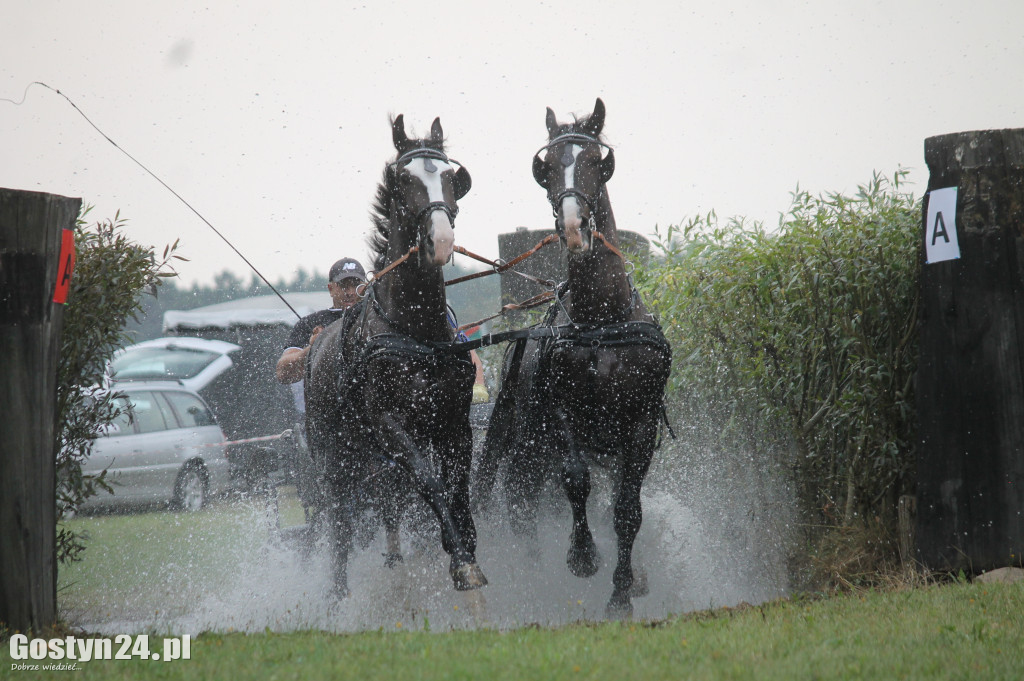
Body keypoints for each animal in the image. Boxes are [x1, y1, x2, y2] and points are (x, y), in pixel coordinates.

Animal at [303, 114, 487, 598]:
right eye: (403, 181)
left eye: (450, 177)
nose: (440, 239)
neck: (417, 334)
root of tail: (314, 347)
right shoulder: (390, 424)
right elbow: (431, 482)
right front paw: (461, 561)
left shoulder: (453, 420)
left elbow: (457, 488)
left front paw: (465, 544)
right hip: (336, 457)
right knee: (340, 521)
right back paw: (337, 591)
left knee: (386, 504)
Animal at [479, 99, 671, 614]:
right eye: (546, 168)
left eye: (595, 163)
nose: (571, 227)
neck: (602, 320)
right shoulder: (565, 415)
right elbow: (577, 479)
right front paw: (582, 556)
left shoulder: (640, 423)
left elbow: (627, 509)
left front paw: (623, 592)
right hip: (526, 447)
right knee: (522, 508)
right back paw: (533, 577)